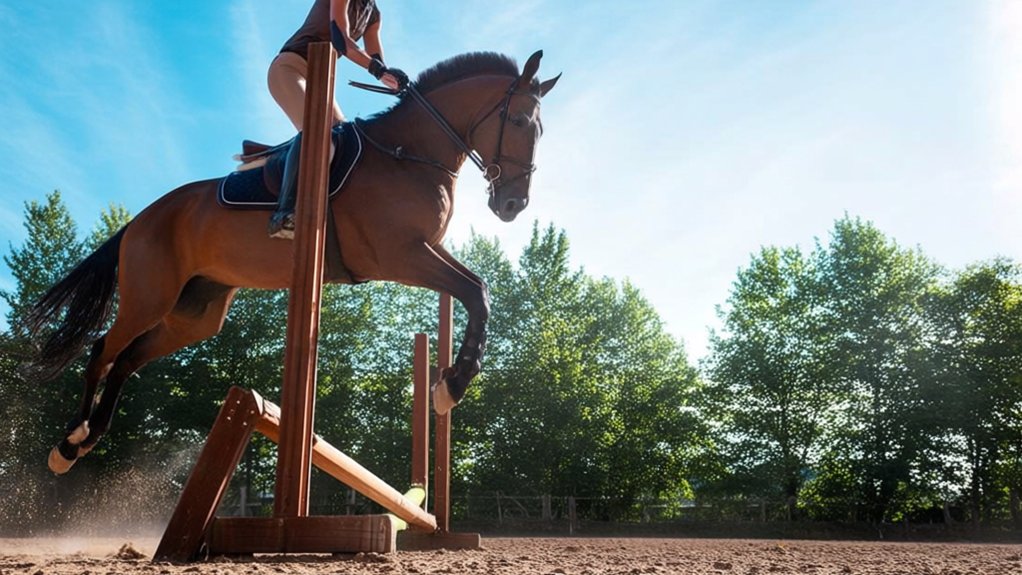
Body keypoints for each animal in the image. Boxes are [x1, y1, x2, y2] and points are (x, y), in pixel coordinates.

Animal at [25, 50, 559, 474]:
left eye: (541, 129)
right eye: (517, 122)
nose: (513, 205)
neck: (410, 153)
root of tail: (141, 218)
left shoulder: (422, 249)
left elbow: (478, 288)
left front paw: (451, 381)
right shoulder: (399, 253)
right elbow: (475, 292)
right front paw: (453, 385)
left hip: (194, 314)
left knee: (128, 361)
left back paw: (85, 441)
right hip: (149, 296)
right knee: (103, 351)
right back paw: (69, 442)